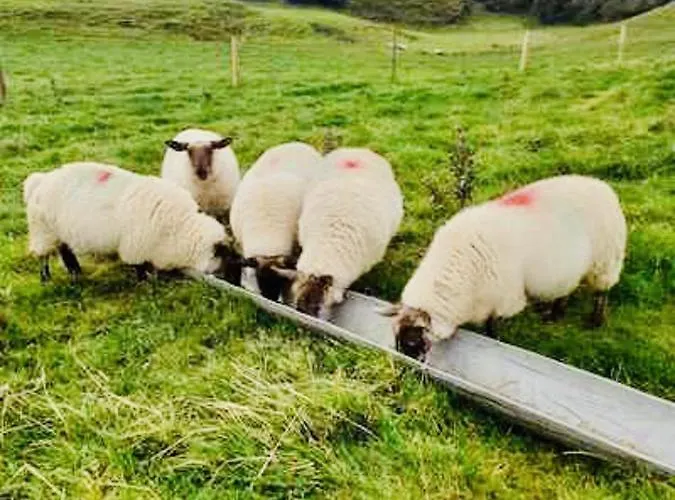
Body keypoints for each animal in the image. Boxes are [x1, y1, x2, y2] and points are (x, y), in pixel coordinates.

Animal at [23, 162, 239, 282]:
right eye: (226, 260)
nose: (232, 281)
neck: (181, 227)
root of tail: (39, 181)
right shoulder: (136, 246)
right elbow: (140, 266)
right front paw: (145, 282)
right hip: (43, 231)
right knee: (43, 256)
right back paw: (46, 278)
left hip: (59, 232)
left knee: (65, 249)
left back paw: (75, 272)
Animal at [380, 175, 627, 361]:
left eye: (413, 339)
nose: (407, 364)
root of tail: (602, 186)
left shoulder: (502, 299)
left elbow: (492, 326)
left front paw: (494, 340)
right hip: (573, 268)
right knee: (567, 289)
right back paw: (555, 314)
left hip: (606, 260)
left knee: (602, 291)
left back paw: (595, 321)